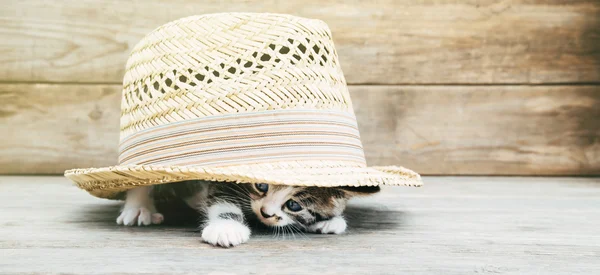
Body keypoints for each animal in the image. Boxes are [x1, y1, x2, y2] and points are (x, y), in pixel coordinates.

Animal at [116, 181, 380, 248]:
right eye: (261, 186)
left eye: (293, 205)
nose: (265, 212)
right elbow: (224, 199)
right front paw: (226, 227)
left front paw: (331, 220)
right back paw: (138, 208)